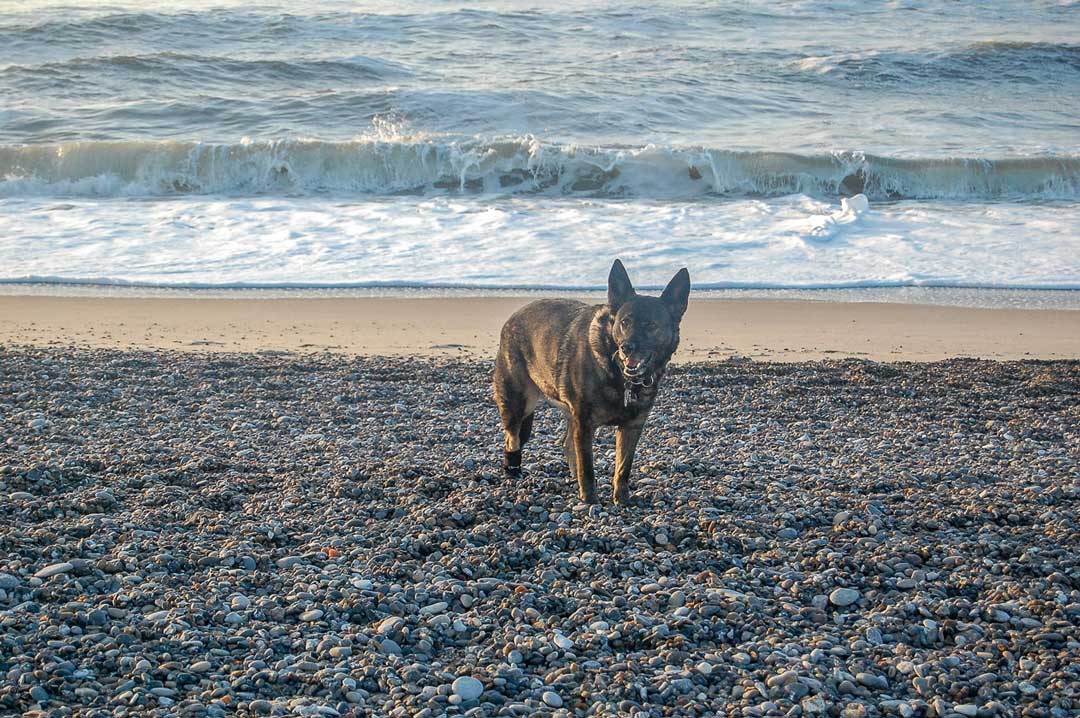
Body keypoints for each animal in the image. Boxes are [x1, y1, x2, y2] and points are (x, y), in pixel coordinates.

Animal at [492, 259, 686, 503]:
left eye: (651, 325)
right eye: (625, 322)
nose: (627, 347)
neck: (619, 375)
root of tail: (513, 317)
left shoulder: (631, 427)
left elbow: (623, 469)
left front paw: (621, 500)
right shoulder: (584, 424)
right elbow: (587, 466)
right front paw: (590, 501)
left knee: (566, 443)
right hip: (519, 402)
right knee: (513, 437)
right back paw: (513, 470)